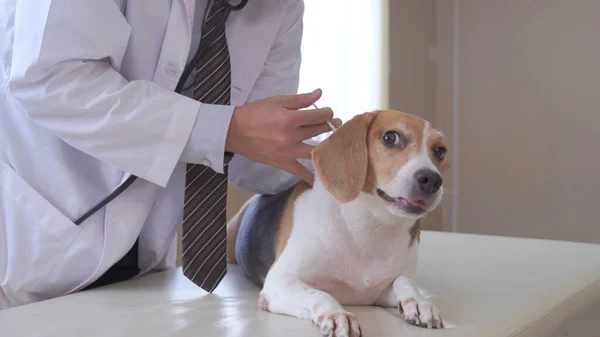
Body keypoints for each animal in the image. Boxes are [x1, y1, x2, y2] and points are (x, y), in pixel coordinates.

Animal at [226, 109, 450, 334]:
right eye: (390, 137)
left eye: (440, 151)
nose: (432, 180)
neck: (368, 227)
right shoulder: (280, 282)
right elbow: (320, 294)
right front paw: (337, 314)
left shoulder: (378, 293)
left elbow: (404, 281)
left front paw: (420, 303)